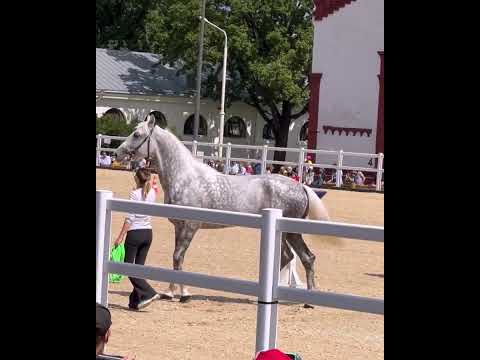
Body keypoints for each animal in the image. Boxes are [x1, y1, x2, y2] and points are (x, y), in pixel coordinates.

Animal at [116, 118, 332, 304]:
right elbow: (176, 259)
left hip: (289, 231)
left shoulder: (190, 227)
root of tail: (300, 186)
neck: (185, 177)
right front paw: (170, 292)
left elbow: (178, 257)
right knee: (300, 257)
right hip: (289, 233)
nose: (118, 153)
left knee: (300, 257)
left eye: (137, 134)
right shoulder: (179, 227)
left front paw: (184, 294)